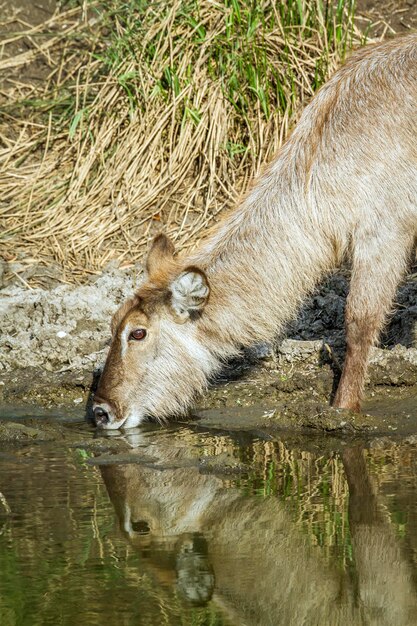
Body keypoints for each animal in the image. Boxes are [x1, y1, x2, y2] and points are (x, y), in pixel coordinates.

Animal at [93, 35, 416, 428]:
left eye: (137, 332)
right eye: (112, 324)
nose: (101, 411)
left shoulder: (386, 231)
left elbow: (359, 323)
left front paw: (343, 409)